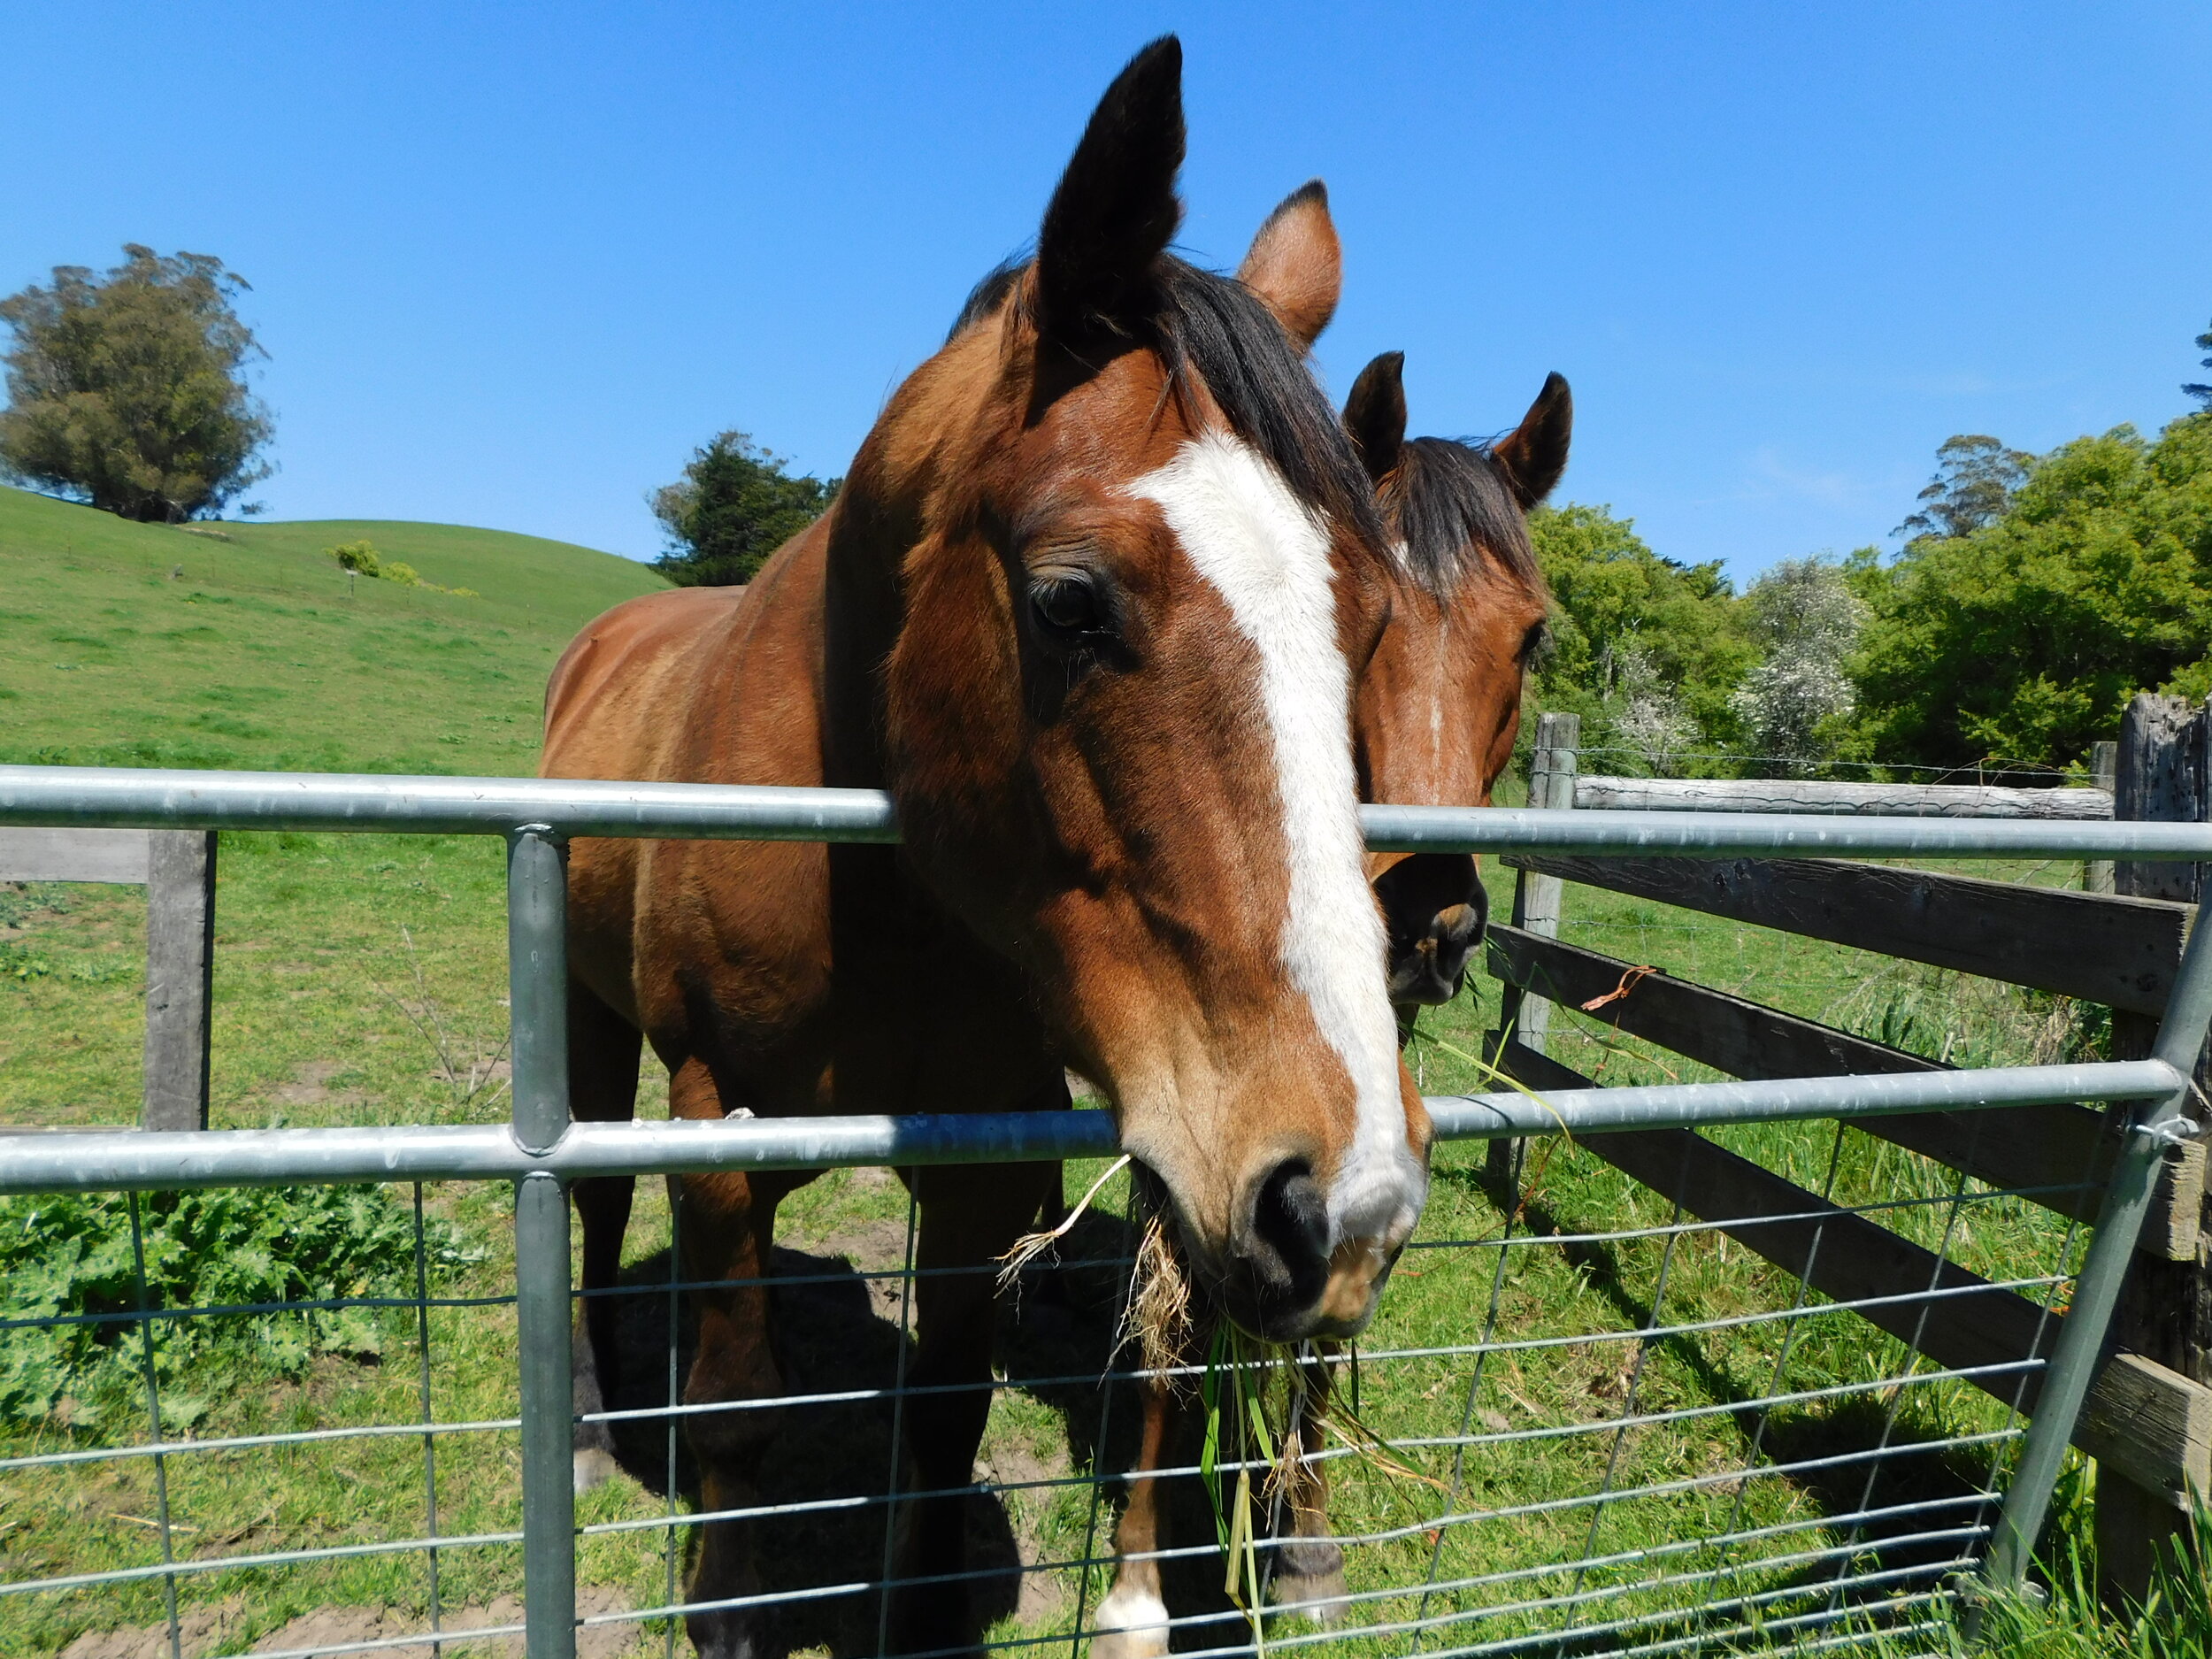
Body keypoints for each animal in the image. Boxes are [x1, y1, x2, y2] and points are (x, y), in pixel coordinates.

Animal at [544, 39, 1425, 1659]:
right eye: (1072, 599)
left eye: (1375, 622)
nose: (1345, 1200)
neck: (884, 894)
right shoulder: (715, 1133)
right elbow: (739, 1413)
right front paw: (731, 1609)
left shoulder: (981, 1171)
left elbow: (942, 1422)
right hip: (584, 1019)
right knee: (590, 1205)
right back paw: (583, 1418)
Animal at [1084, 347, 1566, 1655]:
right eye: (1362, 615)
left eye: (1531, 640)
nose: (1432, 919)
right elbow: (1173, 1329)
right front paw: (1137, 1578)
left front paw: (1299, 1535)